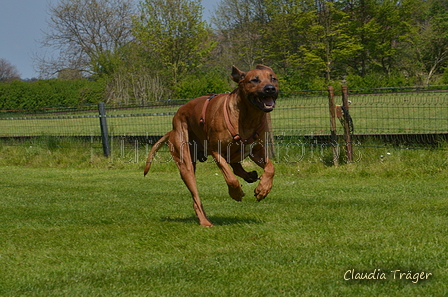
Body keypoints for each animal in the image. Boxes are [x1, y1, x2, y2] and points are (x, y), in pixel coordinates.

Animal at [144, 65, 278, 225]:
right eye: (254, 80)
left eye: (273, 78)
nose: (270, 89)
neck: (248, 117)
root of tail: (172, 129)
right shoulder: (216, 151)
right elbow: (230, 178)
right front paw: (236, 193)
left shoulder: (257, 150)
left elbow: (270, 168)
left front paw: (263, 189)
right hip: (185, 162)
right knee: (196, 197)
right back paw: (205, 221)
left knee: (236, 166)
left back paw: (250, 176)